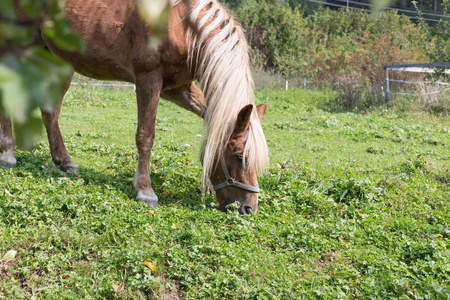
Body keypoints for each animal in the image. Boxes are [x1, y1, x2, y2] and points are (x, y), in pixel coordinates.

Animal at [0, 0, 268, 214]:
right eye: (239, 156)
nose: (249, 208)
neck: (183, 25)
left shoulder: (177, 89)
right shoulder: (148, 78)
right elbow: (145, 136)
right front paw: (145, 190)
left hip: (57, 59)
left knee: (50, 112)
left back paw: (64, 161)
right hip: (17, 50)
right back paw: (8, 155)